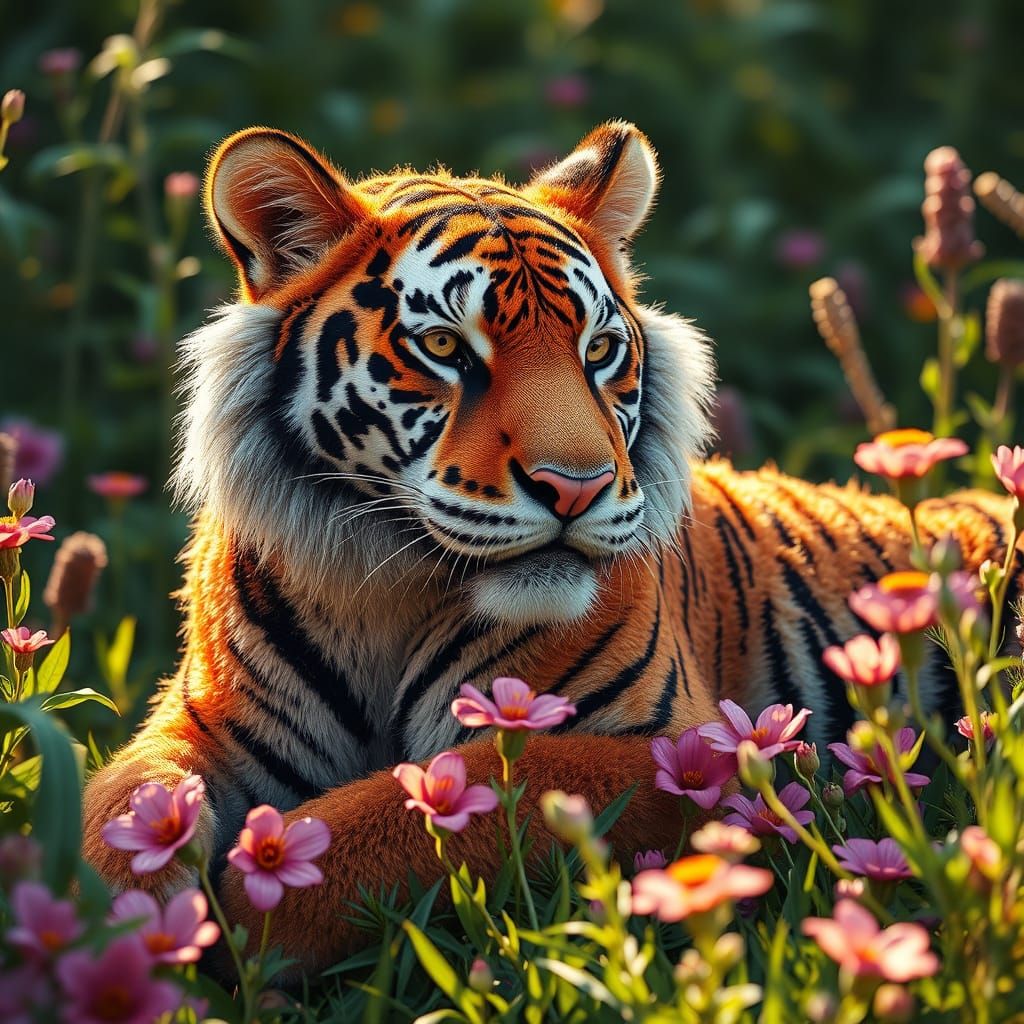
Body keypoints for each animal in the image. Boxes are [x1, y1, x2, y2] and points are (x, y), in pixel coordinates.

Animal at [83, 121, 1021, 973]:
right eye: (445, 347)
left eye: (598, 350)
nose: (577, 488)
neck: (382, 589)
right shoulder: (207, 724)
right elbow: (124, 801)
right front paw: (119, 925)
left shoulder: (685, 749)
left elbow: (421, 807)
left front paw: (249, 913)